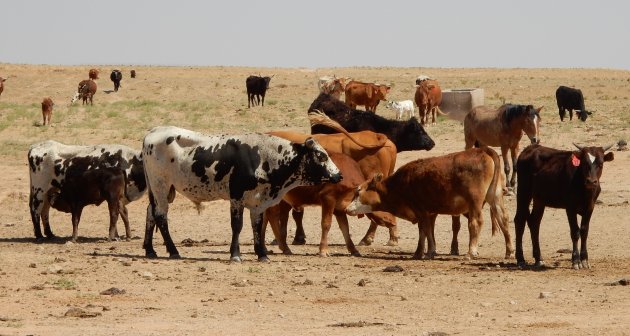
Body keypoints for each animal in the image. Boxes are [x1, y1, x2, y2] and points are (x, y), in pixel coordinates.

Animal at [141, 124, 344, 262]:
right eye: (321, 155)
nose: (339, 175)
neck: (263, 157)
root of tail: (153, 132)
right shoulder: (236, 198)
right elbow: (237, 226)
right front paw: (235, 255)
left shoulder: (258, 203)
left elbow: (257, 226)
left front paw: (262, 254)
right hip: (160, 186)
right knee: (160, 216)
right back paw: (173, 251)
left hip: (161, 190)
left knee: (150, 213)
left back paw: (150, 250)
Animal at [348, 147, 516, 260]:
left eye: (358, 192)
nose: (347, 208)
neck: (399, 185)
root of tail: (484, 150)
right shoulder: (430, 212)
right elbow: (428, 231)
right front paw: (429, 251)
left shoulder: (420, 210)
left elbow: (424, 230)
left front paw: (420, 252)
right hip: (495, 196)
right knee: (503, 218)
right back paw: (509, 251)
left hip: (475, 200)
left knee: (476, 222)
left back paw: (471, 252)